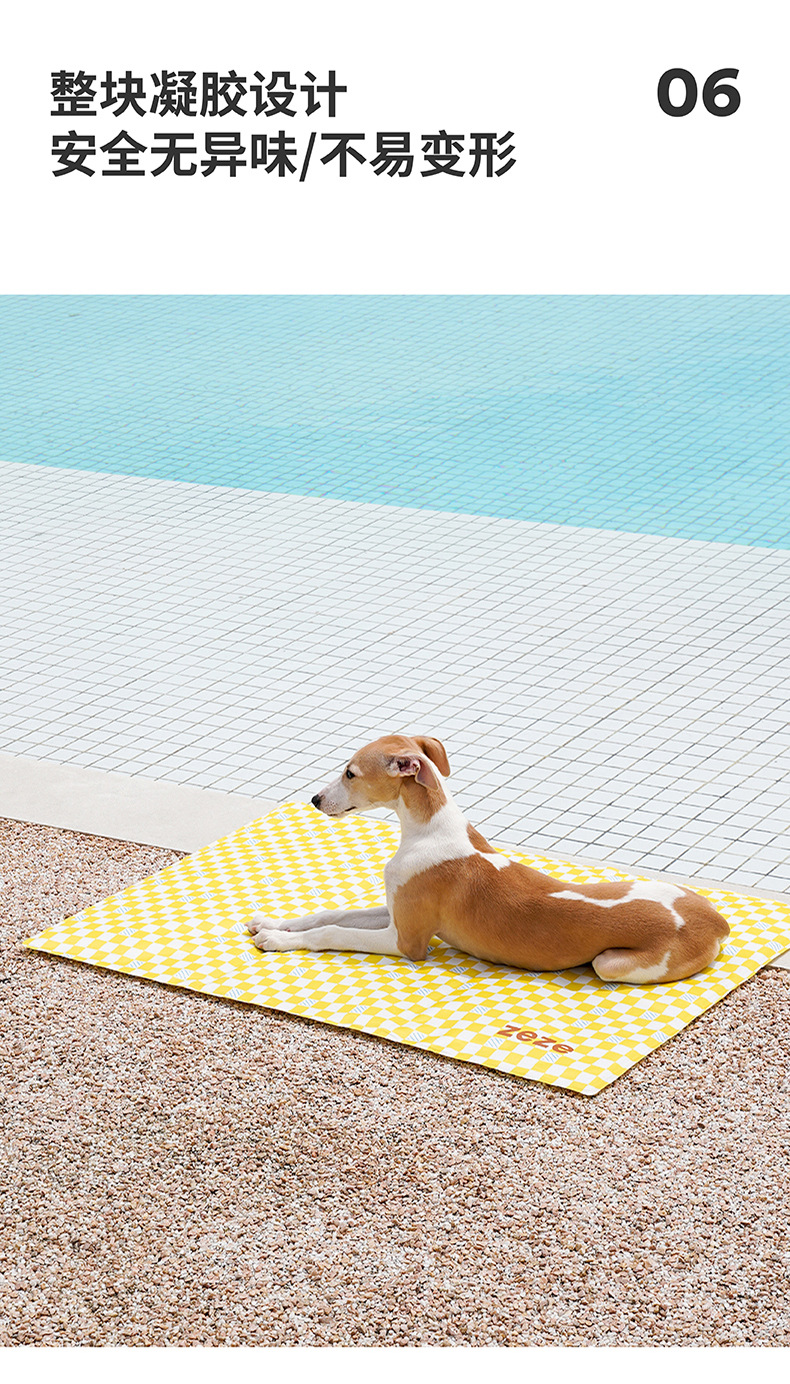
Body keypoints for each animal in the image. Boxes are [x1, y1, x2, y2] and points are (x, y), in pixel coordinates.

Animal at [247, 734, 730, 983]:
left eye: (350, 773)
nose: (314, 800)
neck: (429, 830)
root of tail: (717, 921)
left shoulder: (406, 942)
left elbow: (333, 931)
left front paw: (278, 941)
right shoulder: (394, 909)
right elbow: (332, 913)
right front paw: (273, 923)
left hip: (611, 963)